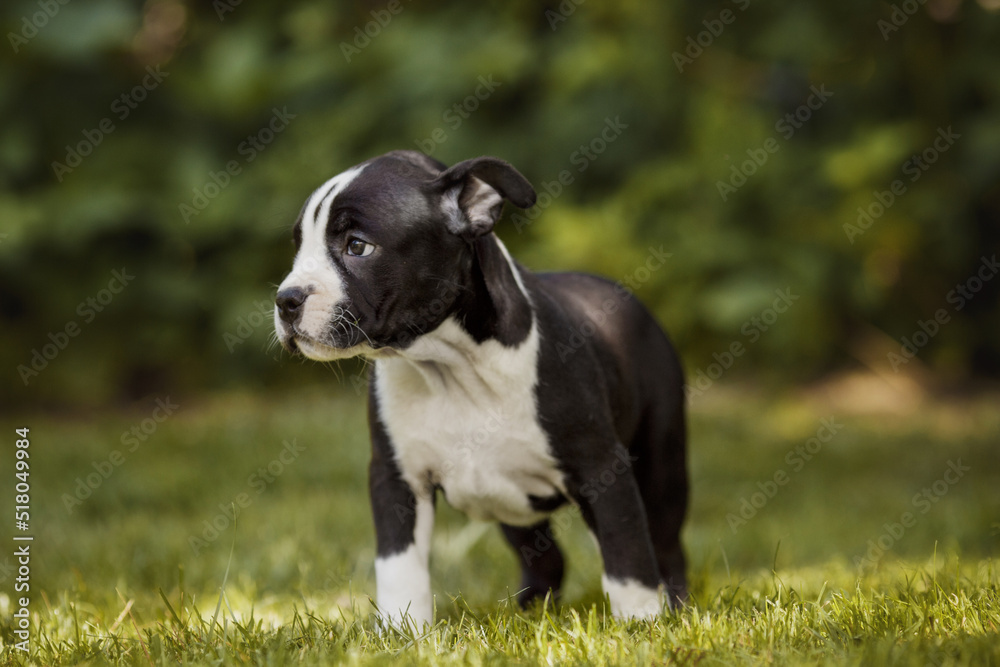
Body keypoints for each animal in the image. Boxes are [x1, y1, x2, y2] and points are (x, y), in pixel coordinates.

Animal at [274, 150, 688, 628]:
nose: (286, 299)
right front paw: (400, 631)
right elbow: (399, 565)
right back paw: (531, 614)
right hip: (515, 508)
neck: (448, 365)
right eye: (298, 247)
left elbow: (627, 556)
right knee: (547, 559)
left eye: (357, 246)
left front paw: (641, 625)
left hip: (661, 466)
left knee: (666, 549)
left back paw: (677, 611)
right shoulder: (397, 477)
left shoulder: (602, 468)